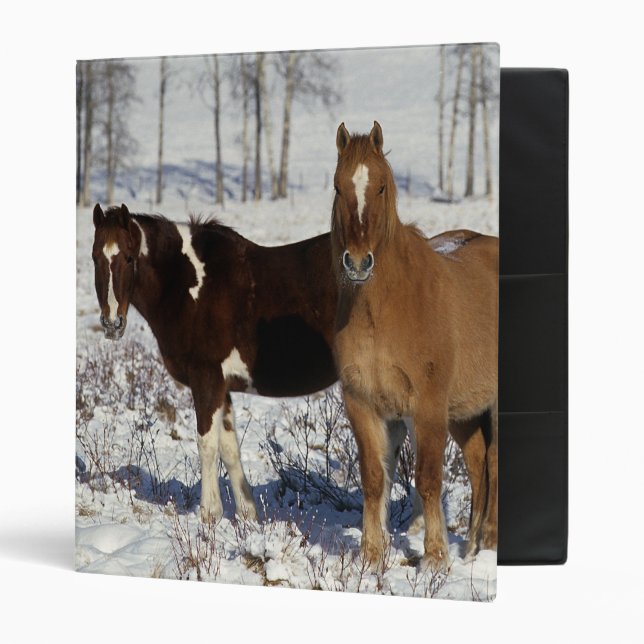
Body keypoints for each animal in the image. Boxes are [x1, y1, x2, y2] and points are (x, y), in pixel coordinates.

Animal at [91, 203, 412, 523]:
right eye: (95, 256)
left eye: (128, 257)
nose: (112, 324)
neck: (187, 285)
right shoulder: (221, 386)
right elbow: (229, 447)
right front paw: (247, 514)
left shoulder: (205, 378)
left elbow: (207, 443)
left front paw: (209, 514)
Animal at [331, 122, 498, 569]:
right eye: (338, 187)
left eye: (381, 187)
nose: (358, 263)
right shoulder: (365, 404)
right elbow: (374, 478)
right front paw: (371, 557)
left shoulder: (427, 407)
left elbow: (427, 479)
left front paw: (435, 559)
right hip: (465, 413)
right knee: (479, 462)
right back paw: (472, 546)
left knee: (495, 463)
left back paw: (490, 543)